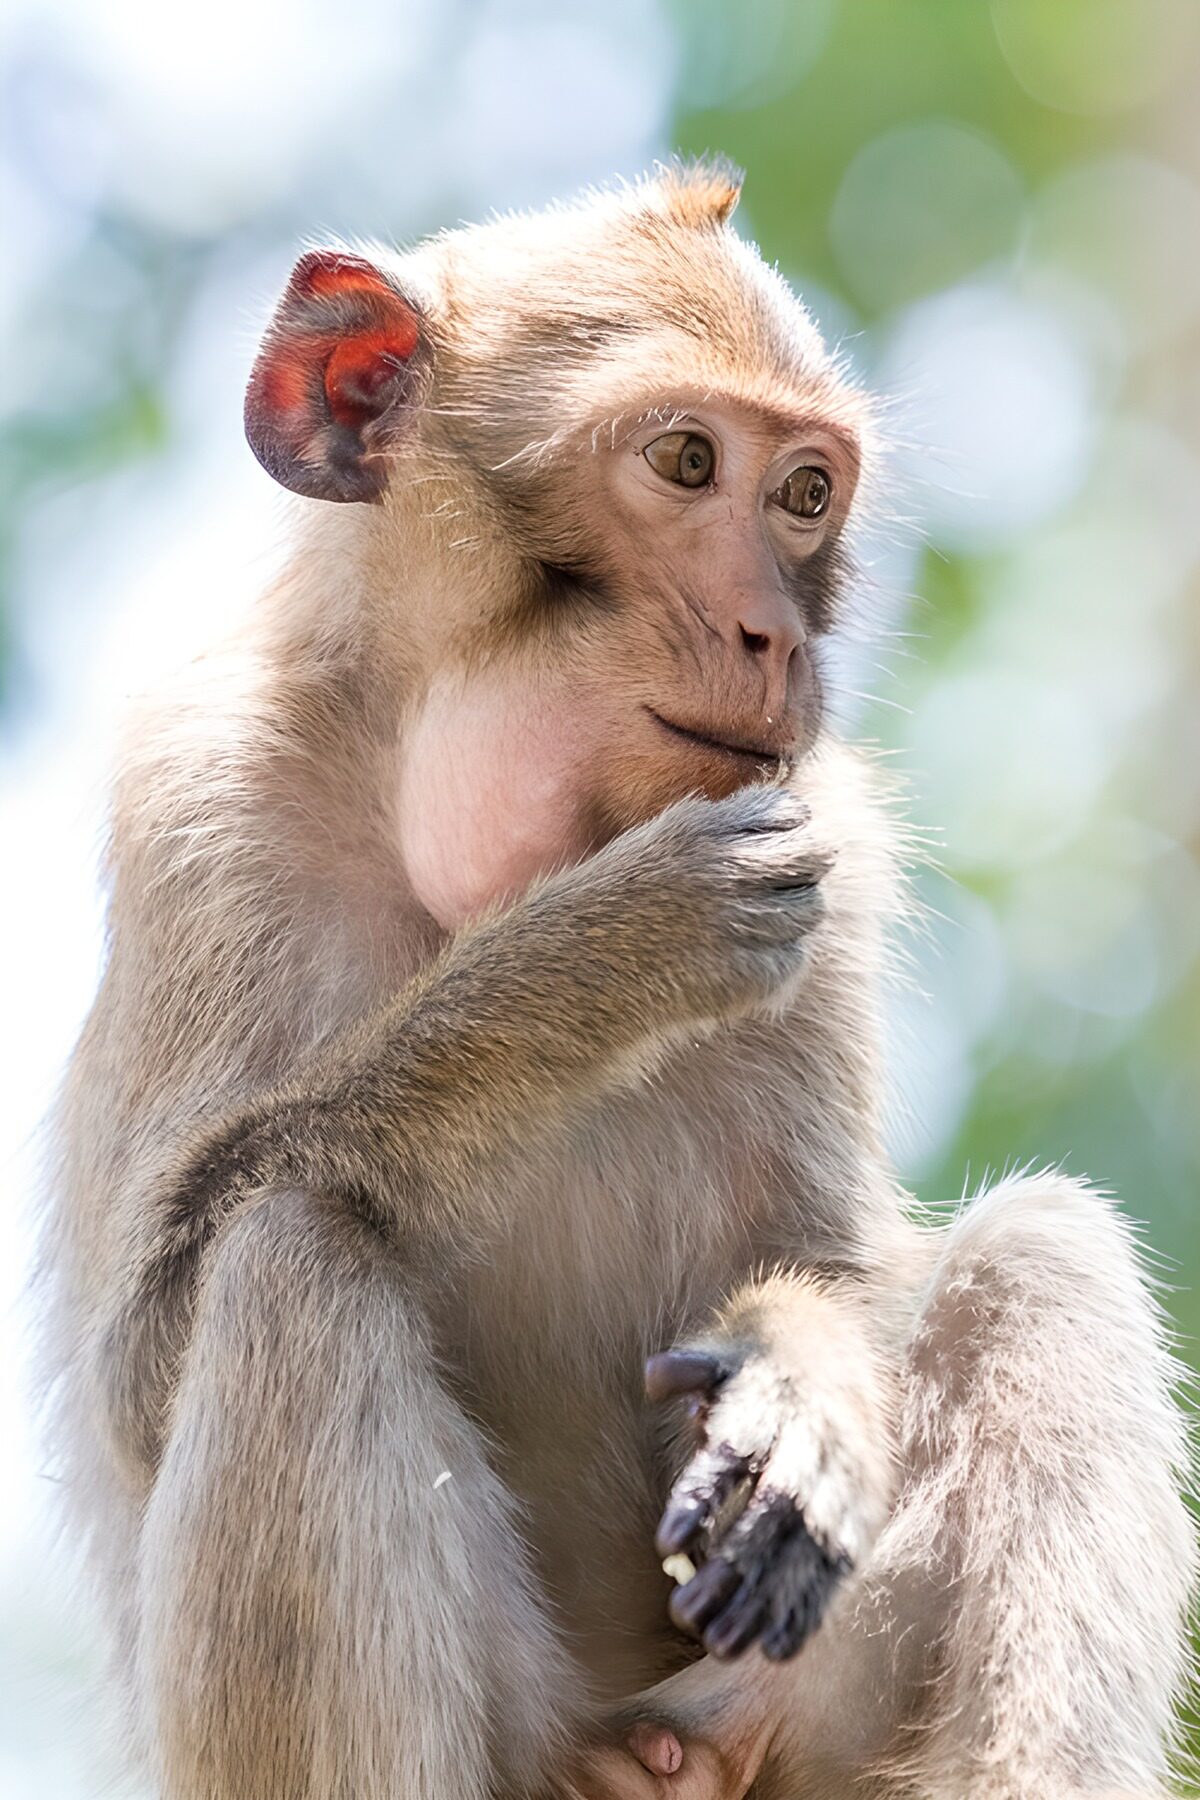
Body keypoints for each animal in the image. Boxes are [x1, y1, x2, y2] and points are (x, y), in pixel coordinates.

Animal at [40, 162, 1193, 1800]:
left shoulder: (831, 840)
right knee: (288, 1266)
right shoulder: (199, 810)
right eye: (686, 460)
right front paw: (597, 954)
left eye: (803, 494)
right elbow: (139, 1363)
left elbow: (836, 1259)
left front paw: (800, 1371)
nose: (775, 633)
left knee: (1048, 1258)